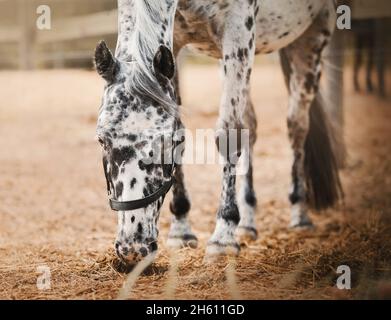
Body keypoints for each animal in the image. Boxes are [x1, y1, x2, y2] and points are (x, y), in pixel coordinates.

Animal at [95, 0, 344, 264]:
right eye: (101, 139)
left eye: (165, 142)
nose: (133, 248)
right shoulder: (175, 44)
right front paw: (181, 229)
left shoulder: (238, 30)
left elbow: (228, 134)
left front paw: (223, 235)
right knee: (251, 127)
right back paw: (247, 224)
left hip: (310, 39)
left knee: (296, 127)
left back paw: (299, 215)